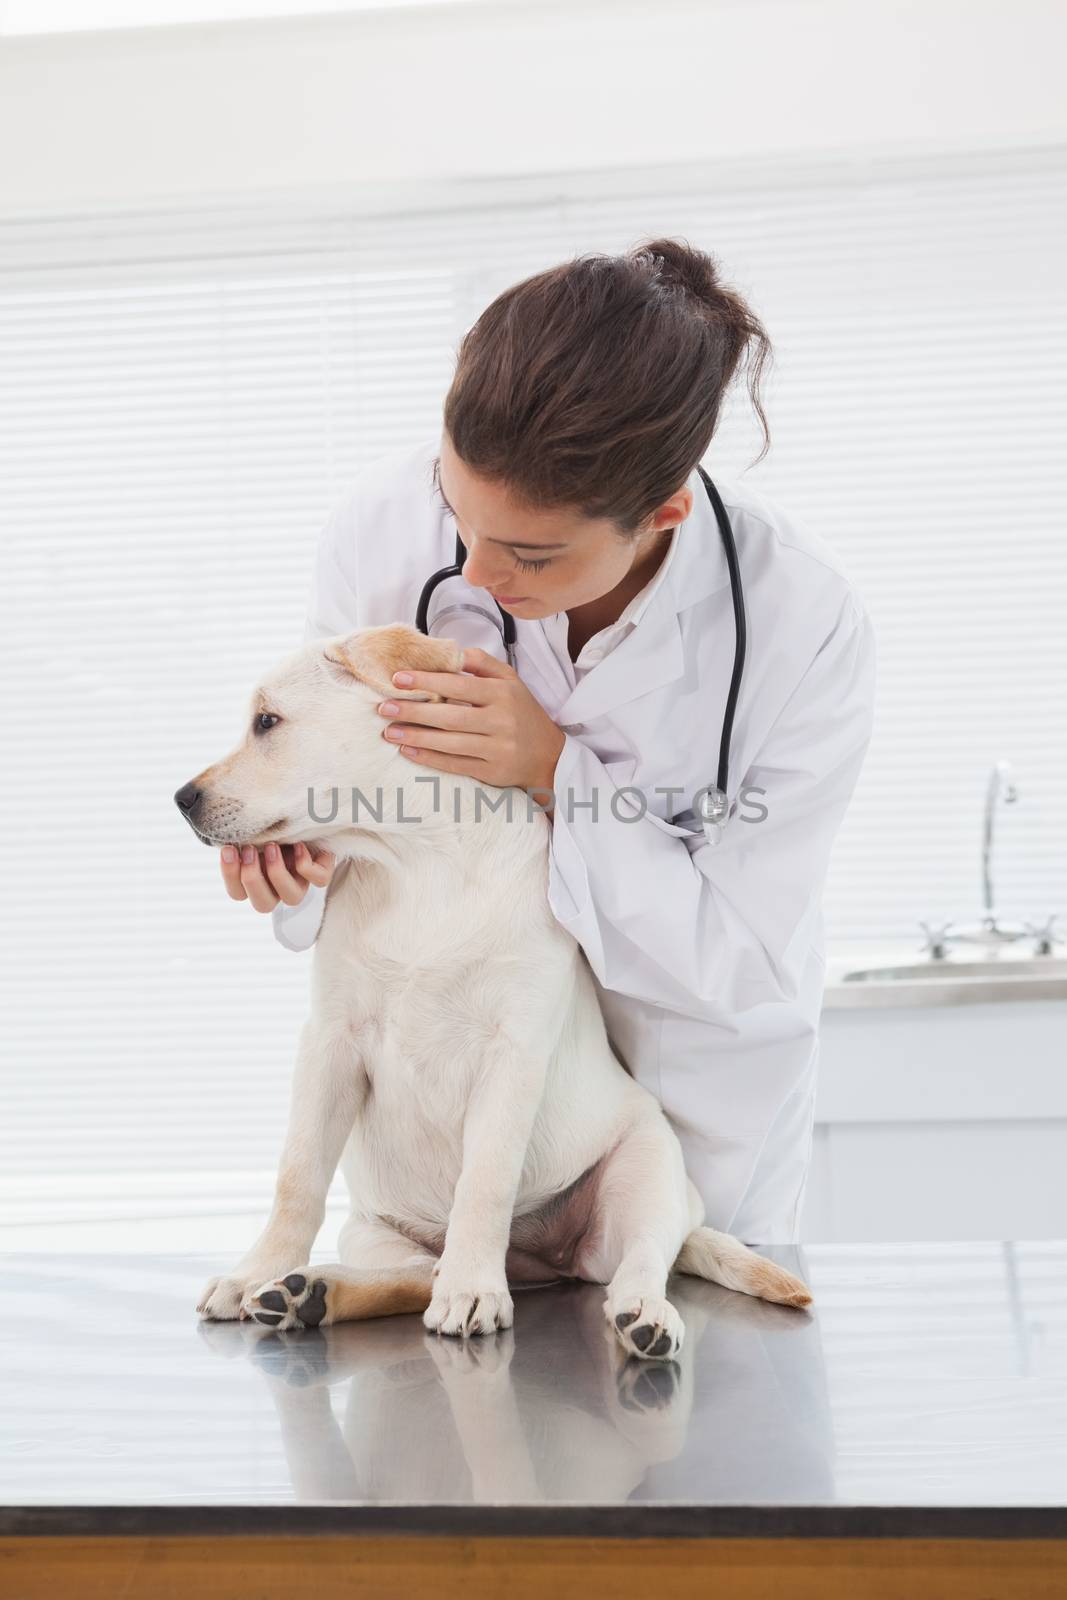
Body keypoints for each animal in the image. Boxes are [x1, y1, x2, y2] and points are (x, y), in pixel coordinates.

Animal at [177, 617, 809, 1356]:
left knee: (641, 1260)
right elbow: (296, 1176)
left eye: (267, 721)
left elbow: (484, 1181)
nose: (182, 799)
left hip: (646, 1171)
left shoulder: (513, 1051)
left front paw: (474, 1291)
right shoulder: (330, 1041)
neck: (418, 862)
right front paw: (255, 1272)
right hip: (371, 1225)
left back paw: (638, 1315)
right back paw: (311, 1292)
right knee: (416, 1273)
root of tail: (536, 1264)